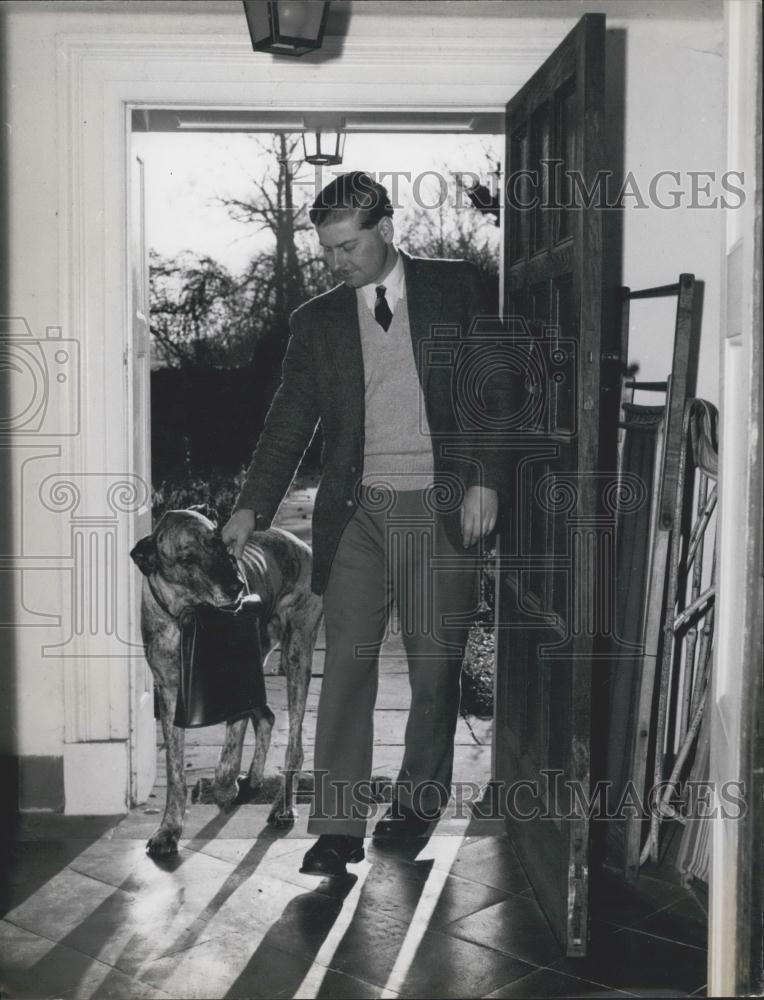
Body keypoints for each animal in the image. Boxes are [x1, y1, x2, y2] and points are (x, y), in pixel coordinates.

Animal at [131, 508, 322, 860]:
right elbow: (175, 772)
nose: (237, 586)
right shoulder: (168, 693)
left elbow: (229, 755)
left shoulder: (238, 682)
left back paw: (282, 807)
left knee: (294, 746)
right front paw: (169, 830)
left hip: (296, 655)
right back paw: (255, 780)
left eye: (218, 543)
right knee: (267, 718)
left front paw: (225, 787)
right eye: (187, 558)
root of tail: (300, 544)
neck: (190, 617)